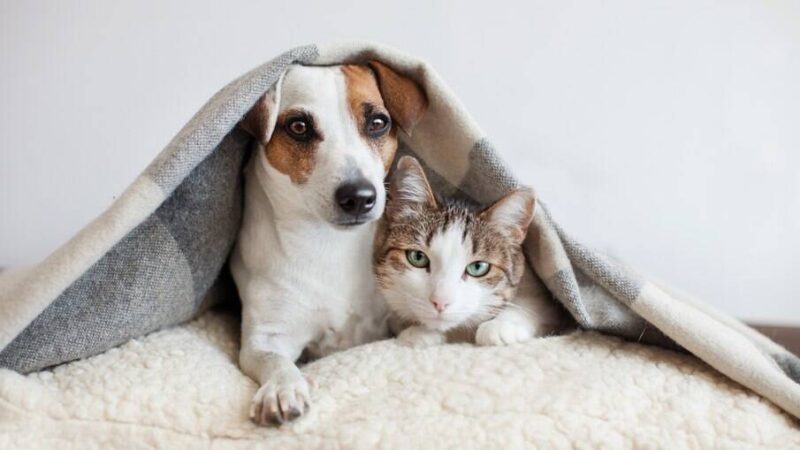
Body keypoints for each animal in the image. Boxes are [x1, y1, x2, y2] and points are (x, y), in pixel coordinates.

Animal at [228, 60, 428, 426]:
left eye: (378, 123)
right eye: (299, 127)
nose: (359, 196)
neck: (331, 245)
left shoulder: (397, 313)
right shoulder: (265, 338)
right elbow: (275, 361)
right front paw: (282, 389)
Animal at [374, 156, 564, 348]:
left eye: (478, 267)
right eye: (417, 257)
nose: (440, 302)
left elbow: (533, 304)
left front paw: (501, 325)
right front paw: (418, 332)